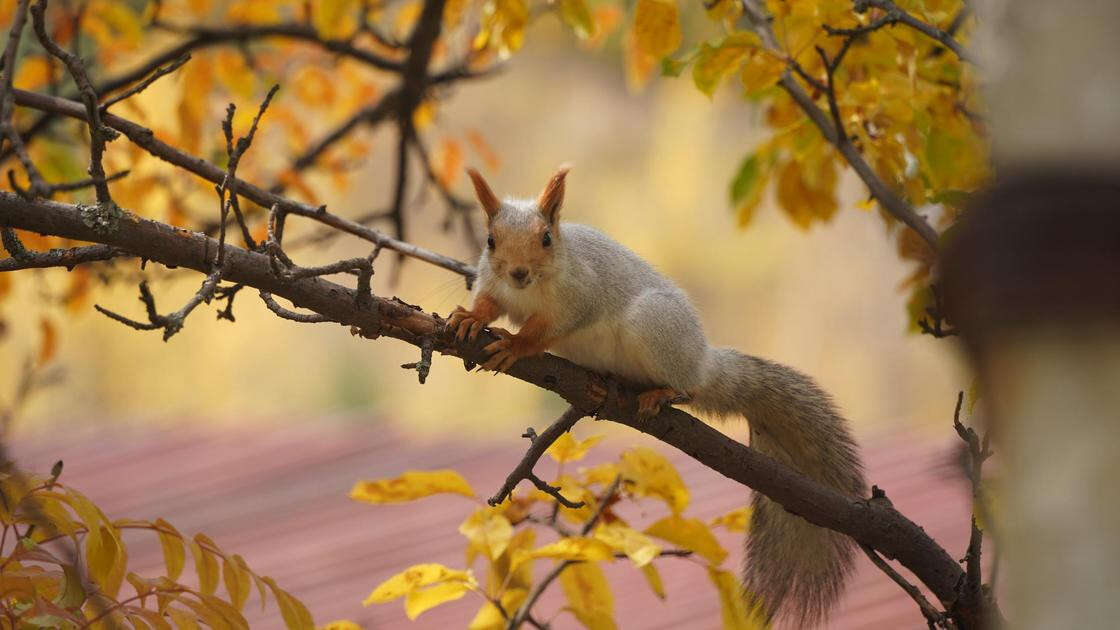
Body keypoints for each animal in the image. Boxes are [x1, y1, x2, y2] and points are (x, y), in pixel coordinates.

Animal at [450, 165, 869, 623]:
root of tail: (702, 359)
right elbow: (489, 303)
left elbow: (543, 331)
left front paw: (514, 344)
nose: (519, 272)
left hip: (652, 328)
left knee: (688, 386)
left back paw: (662, 392)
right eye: (490, 241)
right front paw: (469, 318)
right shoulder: (494, 284)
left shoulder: (578, 297)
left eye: (546, 238)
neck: (530, 289)